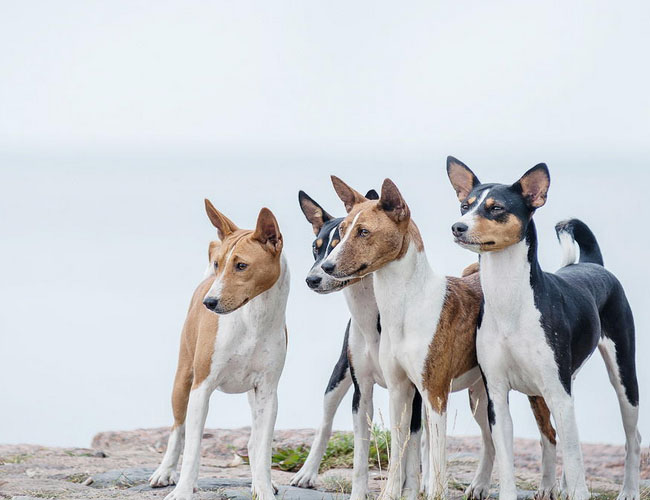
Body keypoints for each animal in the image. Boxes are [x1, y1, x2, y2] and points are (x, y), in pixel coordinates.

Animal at [150, 200, 288, 500]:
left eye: (241, 265)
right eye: (218, 264)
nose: (209, 302)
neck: (252, 320)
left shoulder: (268, 392)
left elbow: (262, 450)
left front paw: (263, 488)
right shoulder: (201, 388)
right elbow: (192, 448)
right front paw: (182, 491)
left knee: (253, 443)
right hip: (183, 380)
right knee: (177, 430)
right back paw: (165, 472)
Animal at [318, 179, 552, 500]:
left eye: (363, 232)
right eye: (341, 232)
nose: (325, 268)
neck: (406, 305)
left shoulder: (434, 394)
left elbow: (436, 462)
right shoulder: (399, 390)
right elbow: (398, 453)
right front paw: (390, 493)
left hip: (535, 391)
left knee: (550, 436)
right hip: (481, 397)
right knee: (490, 441)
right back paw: (479, 486)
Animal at [446, 158, 636, 500]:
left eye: (496, 208)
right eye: (465, 205)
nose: (458, 226)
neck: (510, 301)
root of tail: (591, 263)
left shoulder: (560, 393)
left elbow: (575, 459)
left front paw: (578, 491)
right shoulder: (496, 394)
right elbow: (506, 459)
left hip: (622, 375)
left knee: (632, 436)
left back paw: (628, 490)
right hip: (537, 390)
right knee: (550, 435)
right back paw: (549, 486)